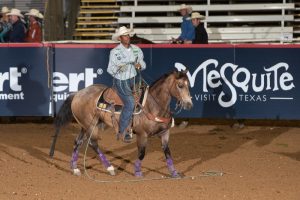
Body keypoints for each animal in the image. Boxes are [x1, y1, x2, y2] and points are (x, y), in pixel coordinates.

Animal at [49, 70, 192, 178]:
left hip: (85, 126)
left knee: (77, 142)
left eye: (188, 85)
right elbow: (142, 153)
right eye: (180, 85)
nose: (189, 104)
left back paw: (75, 169)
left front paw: (174, 173)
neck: (152, 105)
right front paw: (138, 172)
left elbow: (167, 152)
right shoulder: (142, 134)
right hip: (91, 126)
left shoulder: (165, 133)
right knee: (93, 143)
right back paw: (110, 168)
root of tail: (77, 93)